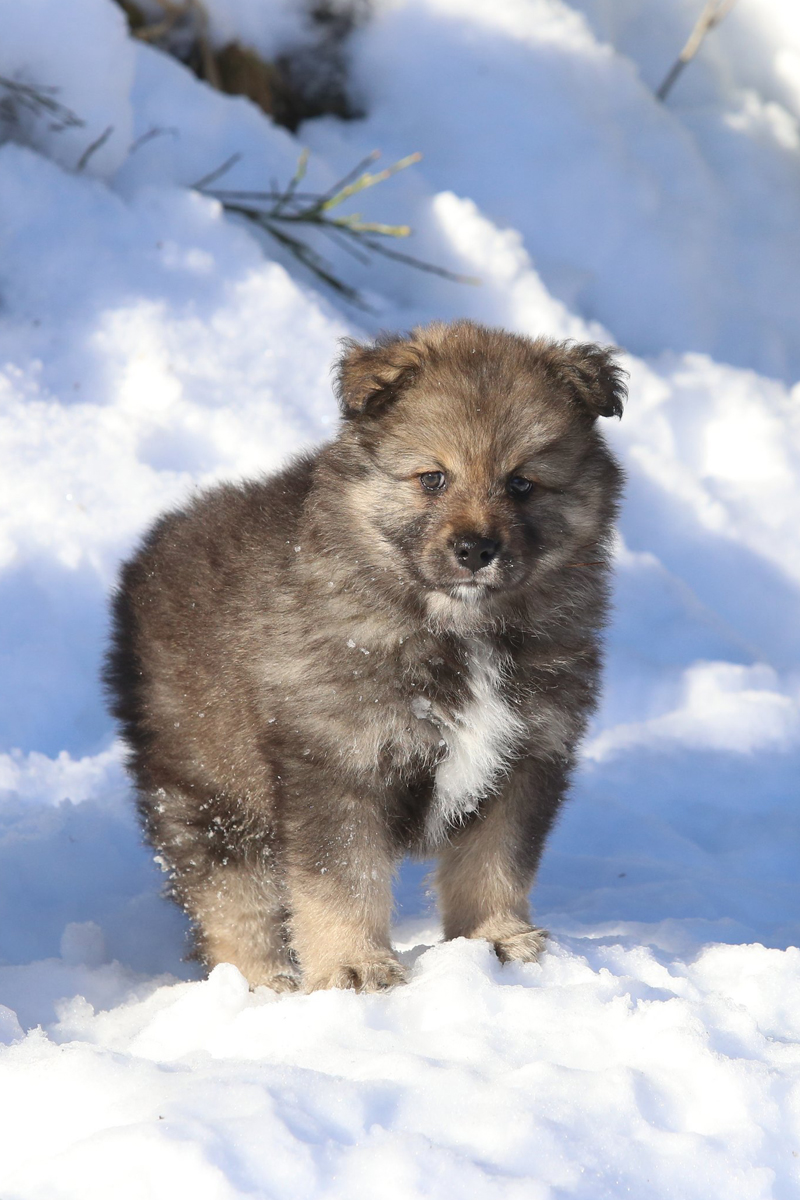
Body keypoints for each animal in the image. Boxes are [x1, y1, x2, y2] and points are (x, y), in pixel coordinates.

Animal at [105, 320, 625, 992]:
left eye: (521, 483)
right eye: (433, 478)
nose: (475, 549)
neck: (458, 630)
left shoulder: (525, 757)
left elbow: (495, 864)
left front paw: (495, 938)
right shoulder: (336, 761)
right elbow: (343, 881)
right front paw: (353, 965)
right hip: (208, 787)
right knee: (231, 894)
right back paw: (259, 982)